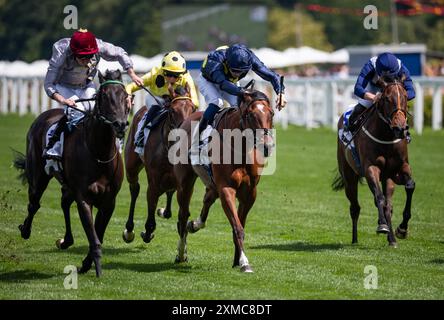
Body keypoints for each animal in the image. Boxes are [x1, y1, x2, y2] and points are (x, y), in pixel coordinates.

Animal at [13, 69, 128, 276]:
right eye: (104, 96)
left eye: (126, 96)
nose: (120, 125)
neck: (99, 153)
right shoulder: (84, 198)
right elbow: (93, 236)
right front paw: (97, 269)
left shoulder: (109, 202)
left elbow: (98, 233)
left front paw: (86, 263)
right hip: (38, 177)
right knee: (34, 204)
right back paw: (25, 230)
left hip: (67, 185)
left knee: (64, 202)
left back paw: (65, 240)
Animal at [123, 84, 196, 242]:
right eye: (173, 111)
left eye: (193, 109)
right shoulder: (154, 180)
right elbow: (151, 202)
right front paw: (147, 231)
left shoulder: (184, 182)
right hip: (131, 167)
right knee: (135, 189)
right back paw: (129, 230)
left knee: (169, 191)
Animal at [173, 90, 274, 272]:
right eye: (251, 114)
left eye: (271, 113)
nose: (267, 146)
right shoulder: (227, 189)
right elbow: (237, 228)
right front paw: (244, 262)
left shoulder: (249, 193)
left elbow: (240, 225)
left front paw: (237, 260)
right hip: (185, 184)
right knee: (183, 216)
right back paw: (181, 253)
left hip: (212, 184)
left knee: (207, 199)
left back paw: (195, 224)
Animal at [332, 79, 416, 248]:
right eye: (387, 98)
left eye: (405, 96)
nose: (400, 128)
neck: (387, 136)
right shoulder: (371, 168)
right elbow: (379, 198)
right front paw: (382, 225)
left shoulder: (399, 169)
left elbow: (409, 186)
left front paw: (402, 229)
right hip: (349, 177)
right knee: (355, 207)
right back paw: (355, 239)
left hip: (387, 179)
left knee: (388, 206)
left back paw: (392, 240)